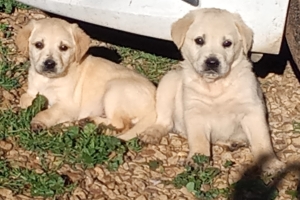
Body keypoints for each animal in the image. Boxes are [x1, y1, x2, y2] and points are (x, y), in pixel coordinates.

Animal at [15, 17, 157, 141]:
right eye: (39, 45)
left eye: (63, 47)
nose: (50, 64)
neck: (49, 80)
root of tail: (156, 106)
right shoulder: (32, 91)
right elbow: (25, 99)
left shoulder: (68, 105)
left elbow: (49, 112)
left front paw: (38, 121)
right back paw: (90, 121)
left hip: (114, 89)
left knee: (121, 125)